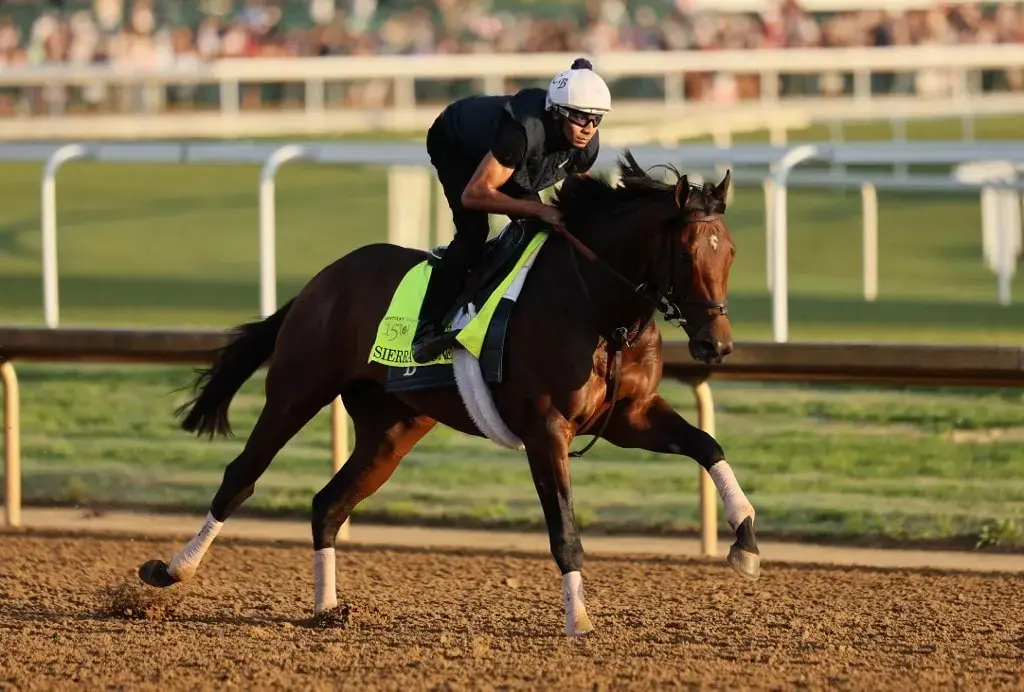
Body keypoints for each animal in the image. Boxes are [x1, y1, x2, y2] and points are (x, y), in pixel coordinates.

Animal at [138, 151, 761, 638]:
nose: (717, 344)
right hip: (296, 391)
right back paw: (172, 570)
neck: (599, 311)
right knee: (241, 477)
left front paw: (746, 542)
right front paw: (578, 619)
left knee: (328, 503)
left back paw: (326, 608)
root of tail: (321, 282)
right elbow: (564, 529)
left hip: (392, 429)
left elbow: (707, 446)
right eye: (689, 253)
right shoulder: (546, 429)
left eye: (730, 252)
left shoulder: (630, 417)